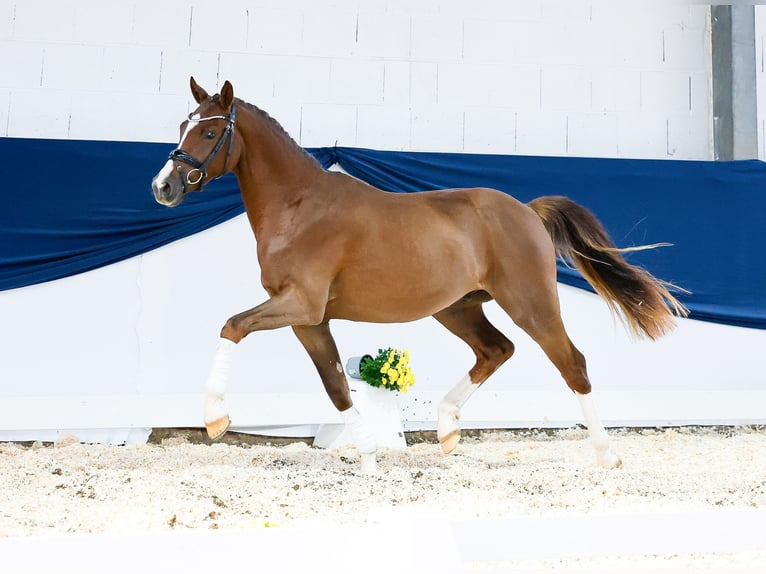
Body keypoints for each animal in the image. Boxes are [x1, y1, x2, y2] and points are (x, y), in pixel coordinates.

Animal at [152, 79, 688, 474]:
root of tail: (527, 211)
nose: (164, 187)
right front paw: (369, 460)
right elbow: (336, 387)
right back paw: (448, 430)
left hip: (530, 303)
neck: (299, 207)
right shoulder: (309, 320)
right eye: (182, 125)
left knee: (571, 363)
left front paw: (215, 419)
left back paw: (607, 456)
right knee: (497, 350)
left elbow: (232, 326)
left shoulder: (299, 304)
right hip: (457, 308)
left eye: (208, 133)